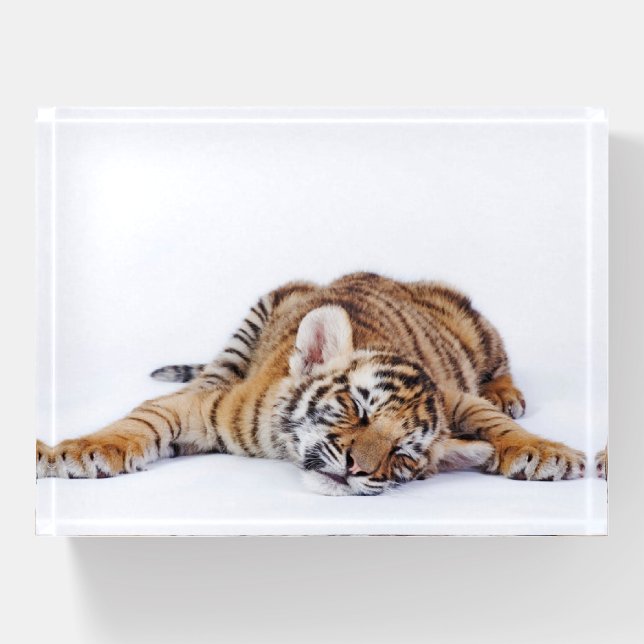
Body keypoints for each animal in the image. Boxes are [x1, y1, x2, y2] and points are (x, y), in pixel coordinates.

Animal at [36, 272, 588, 495]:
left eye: (403, 453)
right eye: (356, 409)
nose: (354, 469)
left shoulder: (455, 396)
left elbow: (489, 419)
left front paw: (548, 453)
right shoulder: (208, 409)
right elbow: (144, 419)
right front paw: (81, 453)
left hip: (477, 332)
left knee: (499, 369)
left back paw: (507, 393)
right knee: (207, 375)